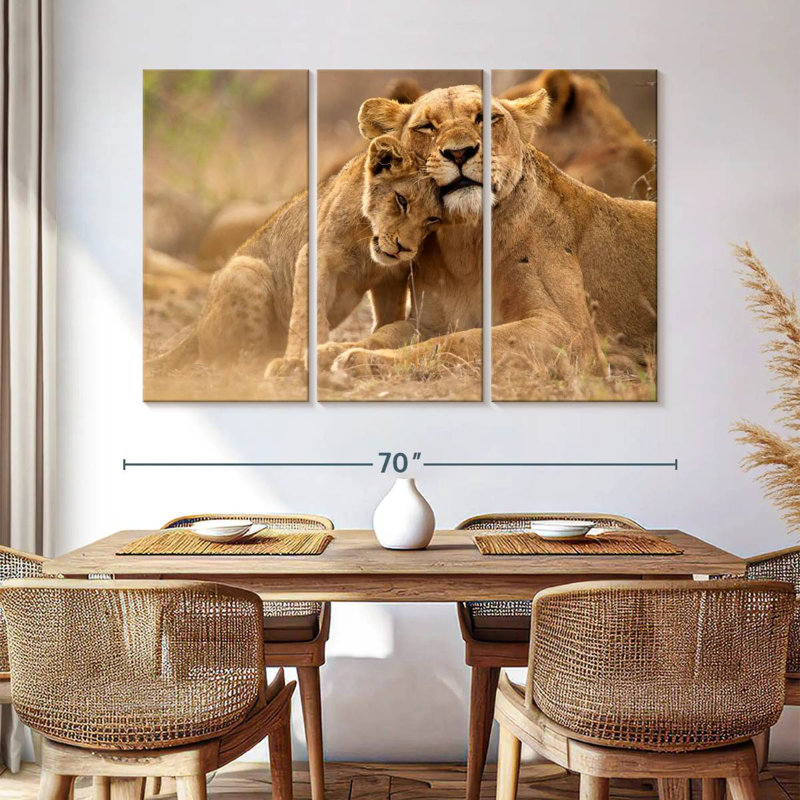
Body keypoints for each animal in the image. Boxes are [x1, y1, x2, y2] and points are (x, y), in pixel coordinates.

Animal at [329, 85, 656, 395]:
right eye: (426, 127)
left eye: (485, 118)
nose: (459, 153)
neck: (465, 243)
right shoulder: (429, 322)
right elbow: (384, 334)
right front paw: (331, 350)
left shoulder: (570, 332)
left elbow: (461, 341)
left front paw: (363, 361)